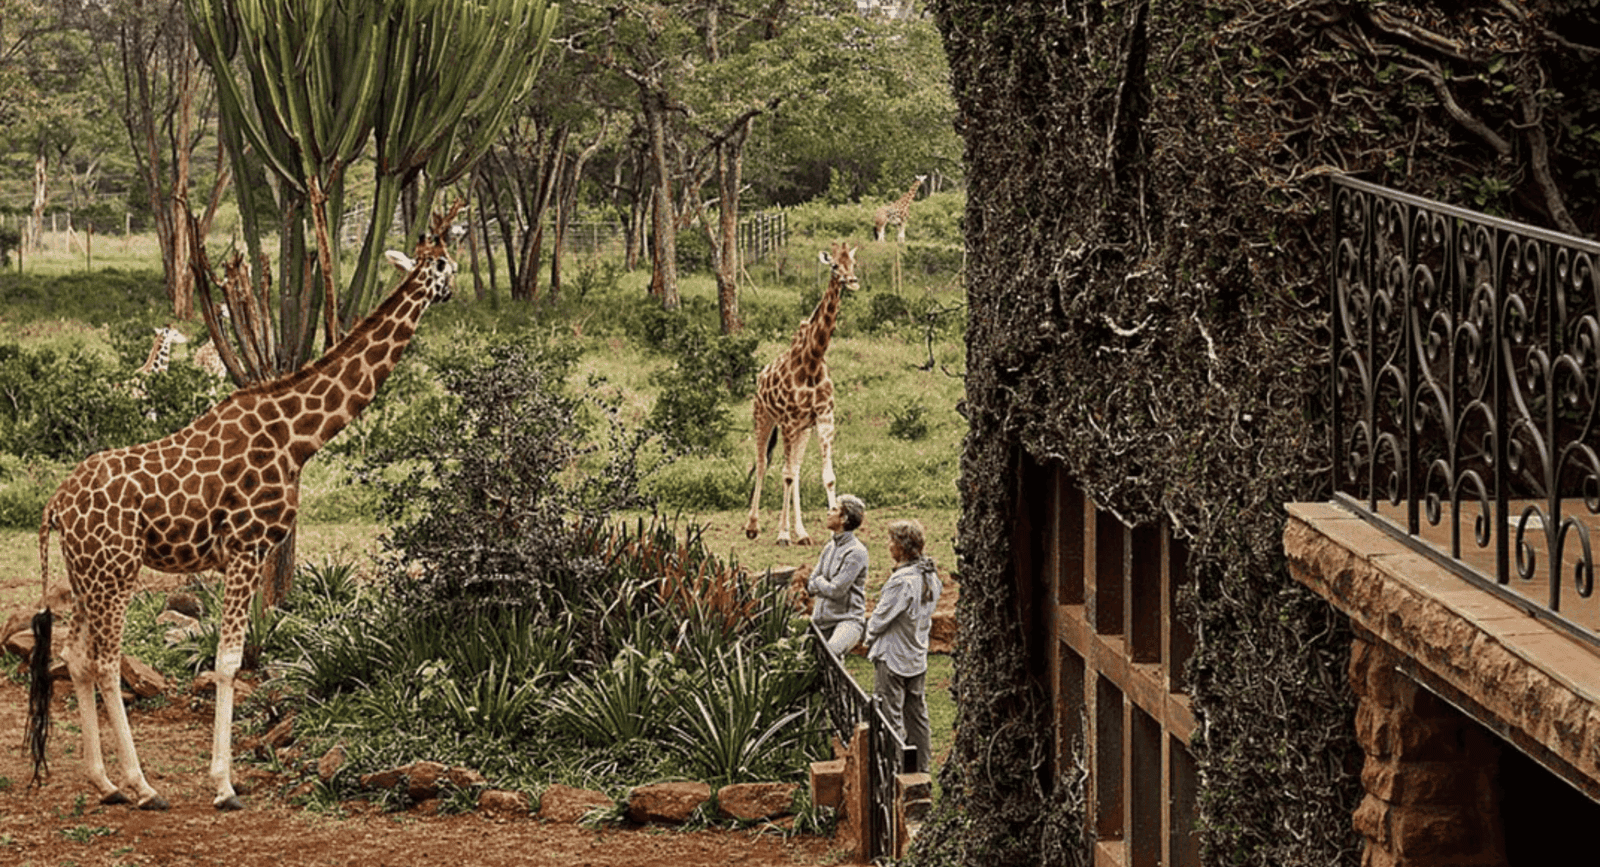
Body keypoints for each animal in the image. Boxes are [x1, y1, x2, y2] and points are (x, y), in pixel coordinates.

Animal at [26, 207, 461, 811]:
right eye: (444, 263)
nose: (456, 289)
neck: (300, 437)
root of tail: (56, 504)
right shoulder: (247, 546)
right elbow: (230, 662)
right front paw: (224, 785)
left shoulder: (244, 553)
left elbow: (237, 659)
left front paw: (221, 777)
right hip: (116, 569)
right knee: (106, 661)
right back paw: (142, 786)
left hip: (85, 571)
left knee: (74, 654)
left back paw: (104, 782)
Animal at [744, 243, 859, 546]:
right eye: (835, 265)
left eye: (853, 263)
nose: (853, 281)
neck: (812, 362)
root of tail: (760, 377)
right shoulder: (787, 421)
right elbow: (783, 475)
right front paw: (782, 534)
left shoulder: (823, 418)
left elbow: (826, 476)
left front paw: (824, 529)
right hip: (763, 417)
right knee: (763, 463)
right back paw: (753, 526)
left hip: (803, 430)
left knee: (794, 469)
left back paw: (802, 533)